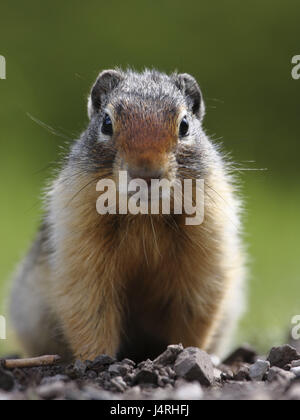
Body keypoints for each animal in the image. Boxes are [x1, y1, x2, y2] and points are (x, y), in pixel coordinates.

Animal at [9, 68, 246, 360]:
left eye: (184, 125)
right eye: (106, 123)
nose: (145, 173)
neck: (144, 215)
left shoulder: (205, 258)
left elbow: (194, 316)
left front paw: (189, 352)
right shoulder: (79, 255)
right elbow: (89, 312)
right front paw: (97, 360)